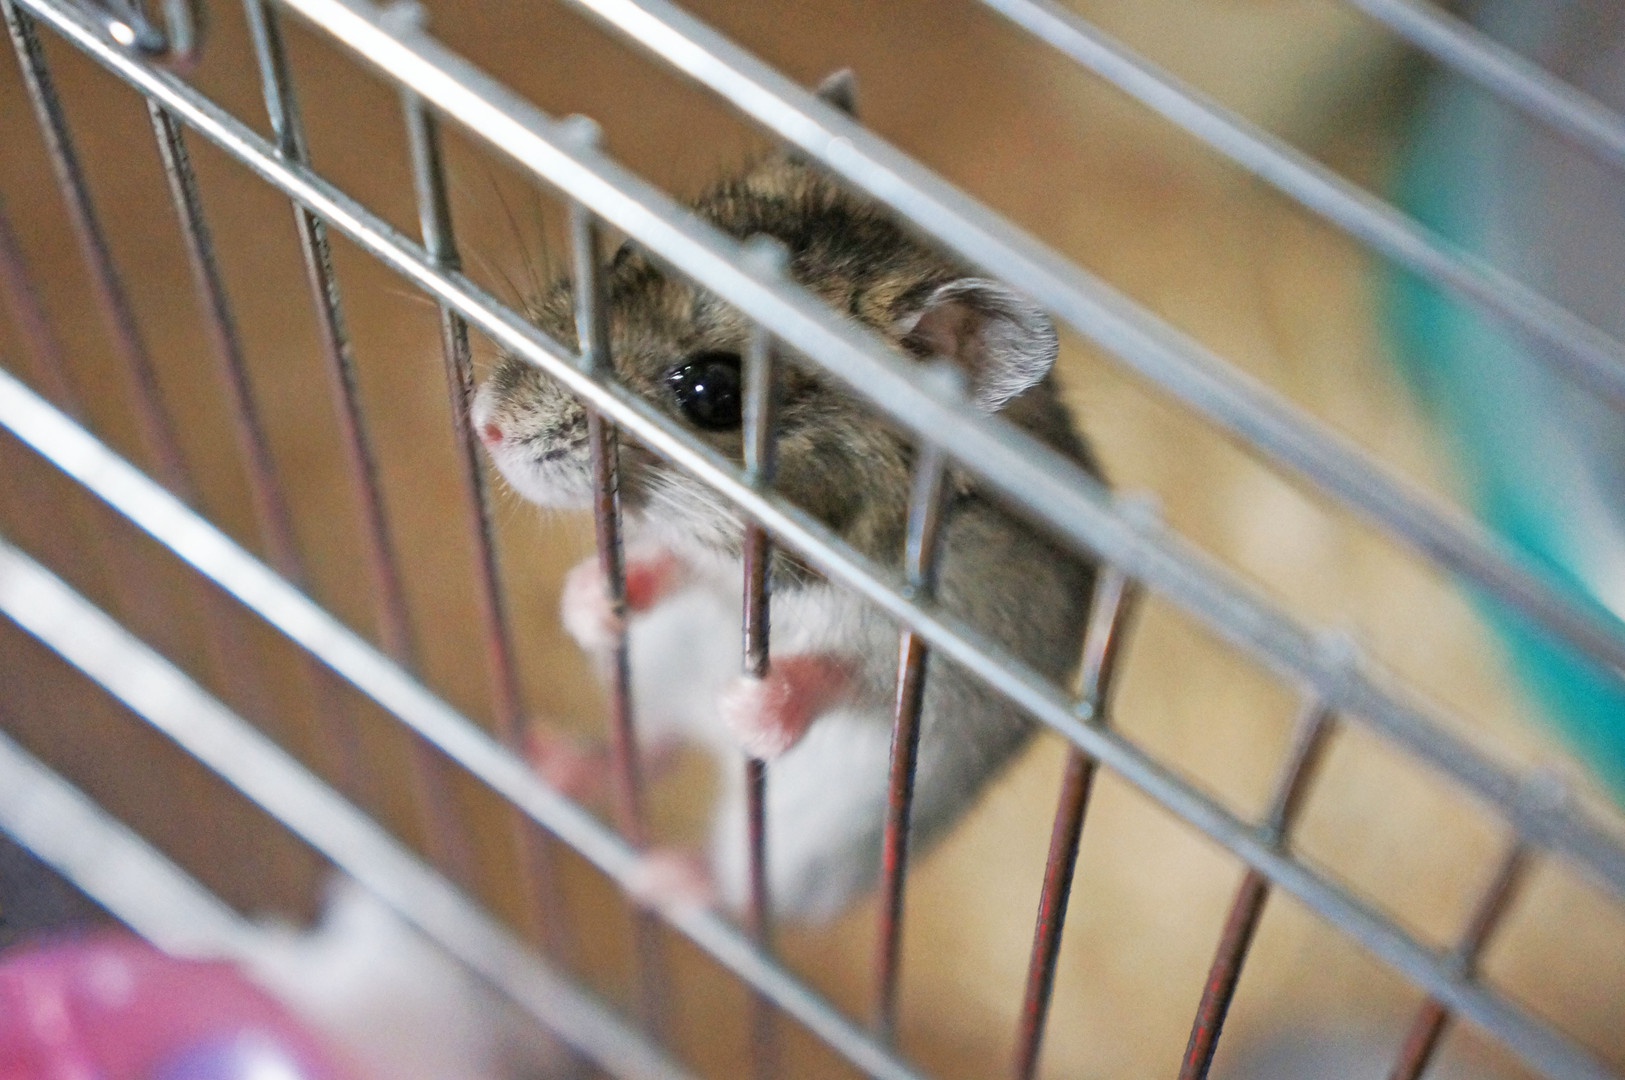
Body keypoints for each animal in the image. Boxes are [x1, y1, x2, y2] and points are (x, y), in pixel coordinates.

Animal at [472, 73, 1099, 921]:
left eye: (712, 392)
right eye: (629, 252)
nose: (486, 427)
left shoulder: (946, 655)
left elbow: (835, 676)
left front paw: (747, 705)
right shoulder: (696, 562)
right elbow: (661, 566)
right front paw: (589, 601)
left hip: (814, 844)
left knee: (741, 891)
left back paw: (664, 873)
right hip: (650, 680)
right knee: (651, 746)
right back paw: (549, 762)